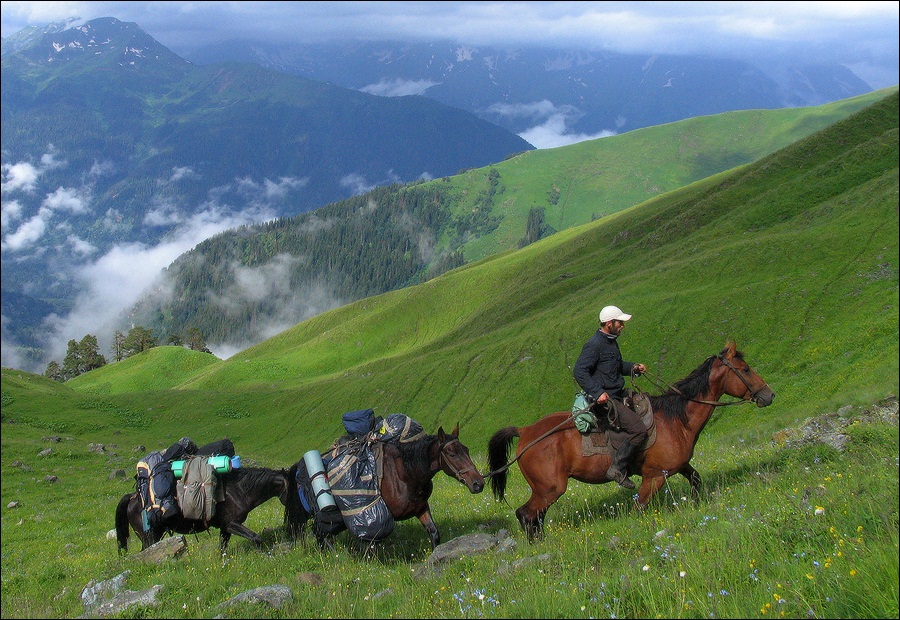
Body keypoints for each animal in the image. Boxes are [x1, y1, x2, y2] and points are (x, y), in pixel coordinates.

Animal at [112, 464, 288, 552]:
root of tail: (133, 497)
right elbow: (255, 537)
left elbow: (222, 549)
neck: (239, 490)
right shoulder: (231, 524)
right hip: (149, 536)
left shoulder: (225, 528)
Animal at [286, 424, 486, 548]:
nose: (478, 483)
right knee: (320, 532)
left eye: (466, 450)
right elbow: (371, 544)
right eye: (452, 454)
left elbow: (434, 533)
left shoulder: (421, 508)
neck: (406, 474)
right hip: (330, 517)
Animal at [488, 342, 776, 540]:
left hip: (545, 490)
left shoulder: (679, 466)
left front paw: (696, 505)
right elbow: (640, 505)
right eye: (746, 369)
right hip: (550, 488)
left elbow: (696, 479)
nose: (769, 395)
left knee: (535, 516)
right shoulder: (654, 477)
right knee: (526, 514)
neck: (676, 419)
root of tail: (526, 431)